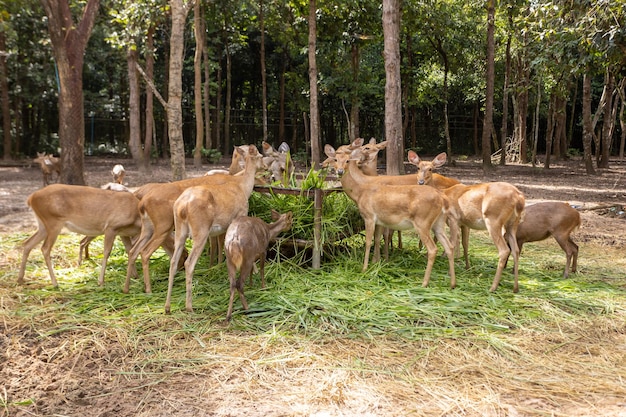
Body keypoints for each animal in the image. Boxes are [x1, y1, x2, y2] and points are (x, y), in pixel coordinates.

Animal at [123, 145, 266, 294]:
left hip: (149, 227)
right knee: (145, 253)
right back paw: (149, 289)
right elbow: (221, 244)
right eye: (261, 156)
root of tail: (142, 203)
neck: (239, 182)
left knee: (134, 251)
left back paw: (128, 287)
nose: (267, 169)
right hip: (163, 225)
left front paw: (214, 267)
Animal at [163, 144, 264, 312]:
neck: (243, 187)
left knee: (173, 261)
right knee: (189, 263)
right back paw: (189, 306)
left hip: (180, 230)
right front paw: (254, 271)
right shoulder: (241, 214)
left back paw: (167, 306)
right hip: (200, 230)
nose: (265, 166)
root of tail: (182, 207)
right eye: (261, 156)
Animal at [322, 145, 454, 288]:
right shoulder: (380, 220)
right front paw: (377, 263)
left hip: (422, 222)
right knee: (449, 246)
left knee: (433, 249)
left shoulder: (369, 216)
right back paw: (452, 283)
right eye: (335, 159)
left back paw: (424, 283)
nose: (340, 171)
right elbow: (378, 239)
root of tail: (442, 198)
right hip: (438, 223)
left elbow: (368, 242)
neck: (360, 192)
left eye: (347, 160)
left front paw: (364, 268)